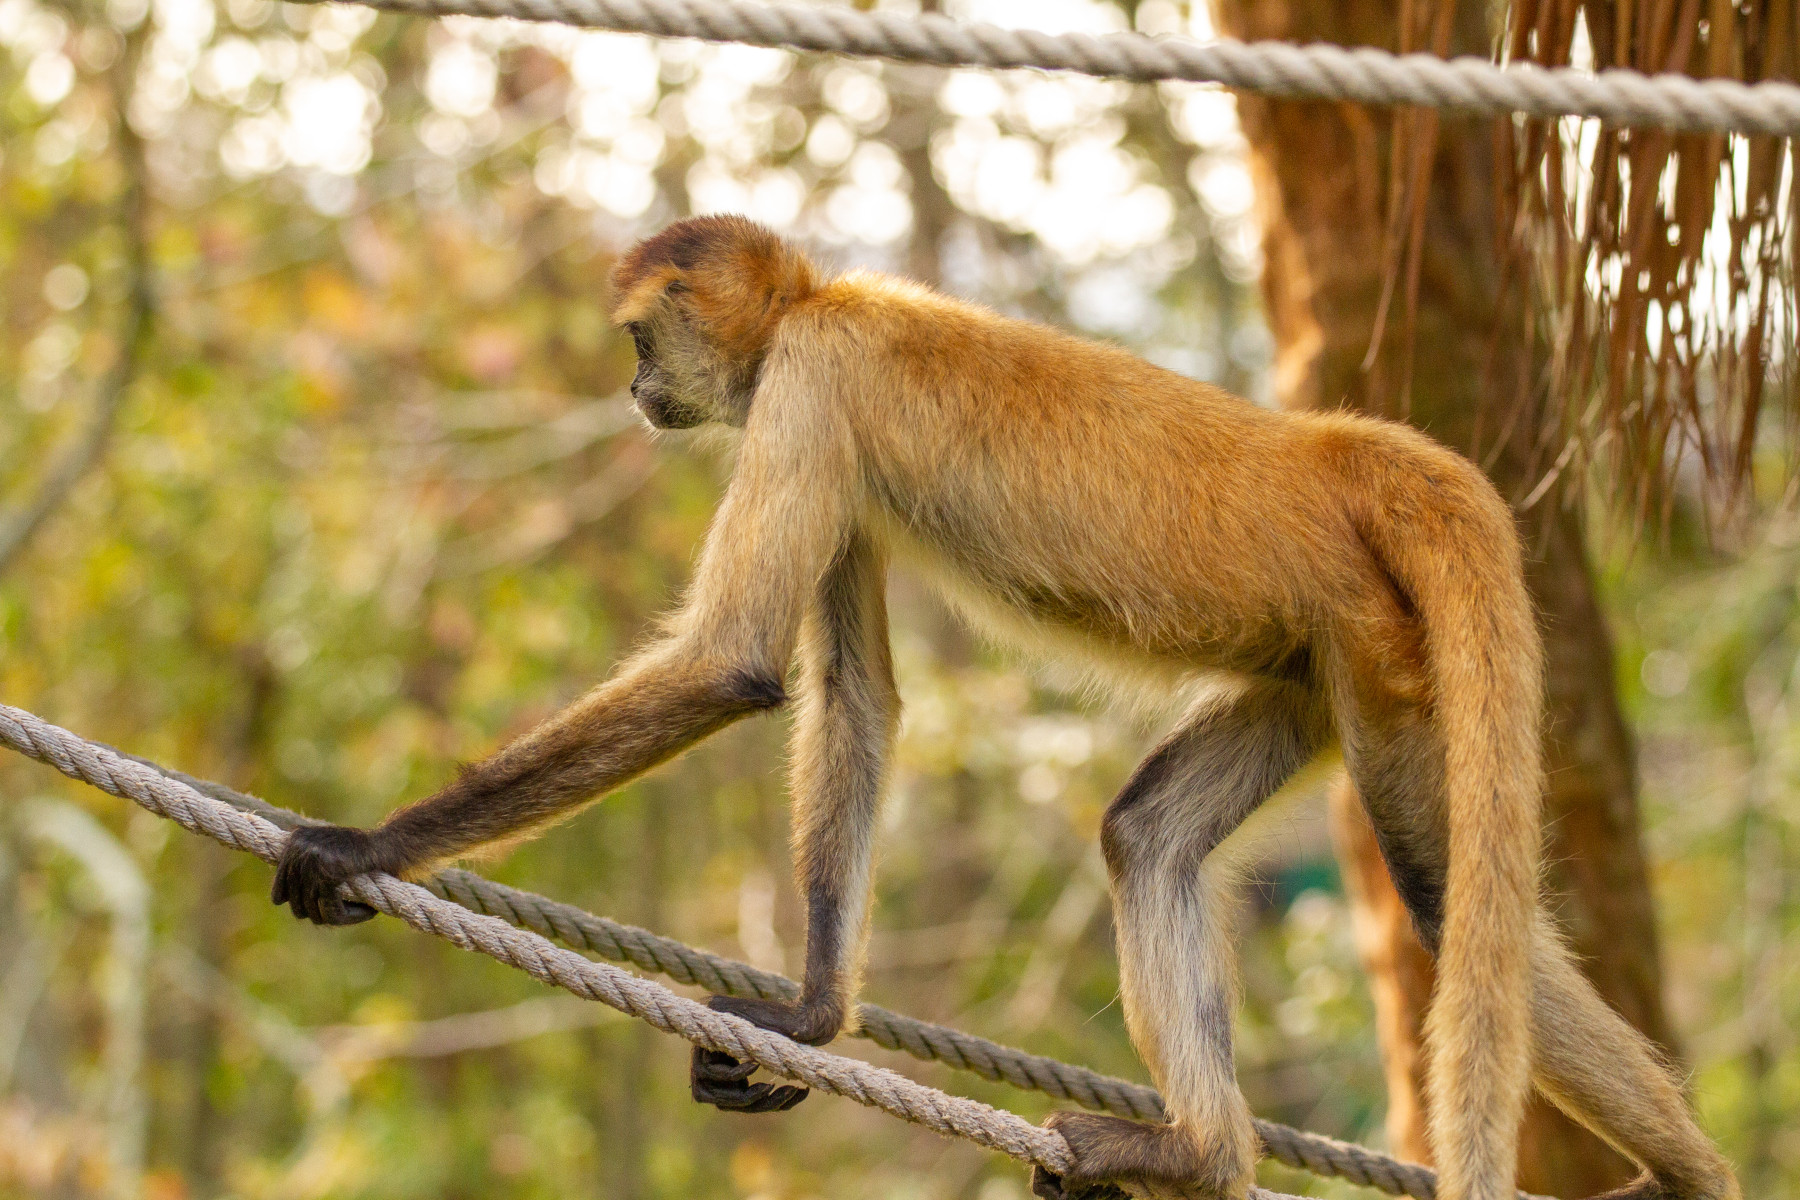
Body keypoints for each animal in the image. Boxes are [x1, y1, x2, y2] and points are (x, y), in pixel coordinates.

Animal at [270, 215, 1739, 1200]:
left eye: (640, 340)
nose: (635, 392)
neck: (825, 295)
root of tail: (1331, 449)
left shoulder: (813, 375)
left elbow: (734, 662)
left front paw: (361, 848)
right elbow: (856, 695)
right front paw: (812, 1018)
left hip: (1376, 652)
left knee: (1441, 887)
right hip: (1323, 661)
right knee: (1152, 838)